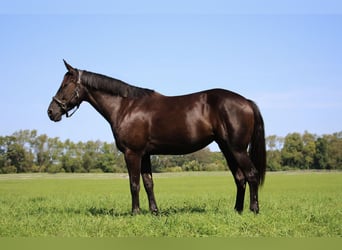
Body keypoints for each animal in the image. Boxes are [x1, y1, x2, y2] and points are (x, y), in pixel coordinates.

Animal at [47, 60, 268, 213]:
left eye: (65, 85)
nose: (51, 112)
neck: (126, 107)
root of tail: (246, 102)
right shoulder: (144, 154)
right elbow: (148, 183)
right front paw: (154, 212)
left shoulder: (132, 153)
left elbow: (134, 183)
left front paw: (135, 212)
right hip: (227, 149)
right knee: (240, 178)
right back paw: (237, 210)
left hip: (237, 149)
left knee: (251, 175)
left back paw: (253, 210)